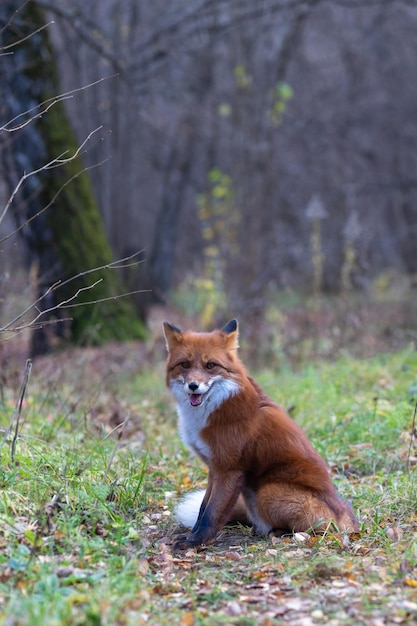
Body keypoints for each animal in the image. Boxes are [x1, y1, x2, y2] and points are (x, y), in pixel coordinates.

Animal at [162, 316, 358, 544]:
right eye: (184, 364)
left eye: (210, 365)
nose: (193, 386)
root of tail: (345, 517)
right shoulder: (213, 467)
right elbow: (203, 508)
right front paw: (193, 535)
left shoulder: (229, 469)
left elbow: (211, 513)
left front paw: (195, 542)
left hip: (268, 491)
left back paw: (282, 533)